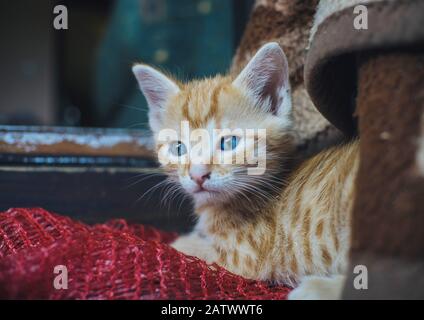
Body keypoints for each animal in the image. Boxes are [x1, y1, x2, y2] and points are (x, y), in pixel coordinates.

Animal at [132, 42, 358, 300]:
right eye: (178, 148)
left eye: (228, 143)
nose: (198, 175)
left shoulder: (245, 255)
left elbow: (187, 249)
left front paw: (168, 244)